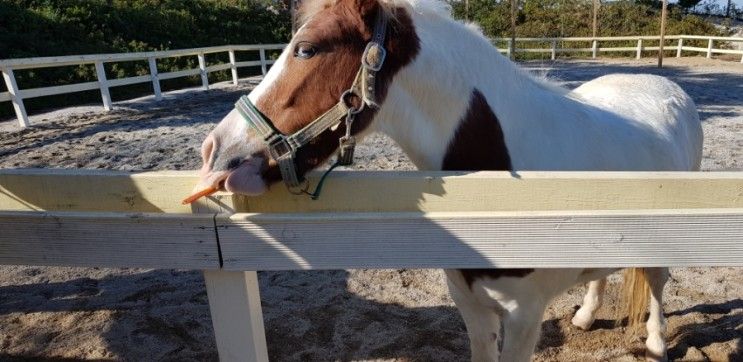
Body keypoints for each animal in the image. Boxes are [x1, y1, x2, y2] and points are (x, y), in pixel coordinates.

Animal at [196, 1, 704, 360]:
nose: (214, 151)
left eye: (307, 49)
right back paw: (585, 316)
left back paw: (656, 343)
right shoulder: (471, 305)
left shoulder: (524, 317)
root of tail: (666, 87)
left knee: (657, 281)